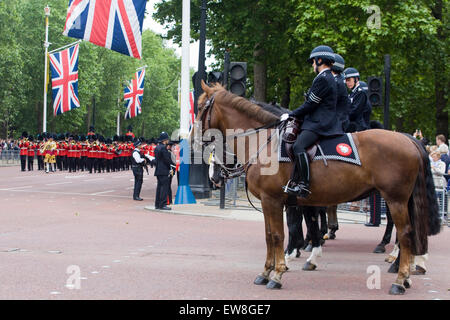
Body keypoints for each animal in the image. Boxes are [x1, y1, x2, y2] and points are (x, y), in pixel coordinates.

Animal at [193, 81, 440, 296]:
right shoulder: (276, 202)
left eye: (201, 107)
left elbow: (280, 234)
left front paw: (278, 273)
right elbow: (273, 234)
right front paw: (268, 271)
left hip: (395, 199)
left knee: (405, 233)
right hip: (402, 199)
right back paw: (406, 272)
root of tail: (410, 140)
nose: (195, 141)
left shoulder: (275, 200)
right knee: (409, 232)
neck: (264, 142)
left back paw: (399, 278)